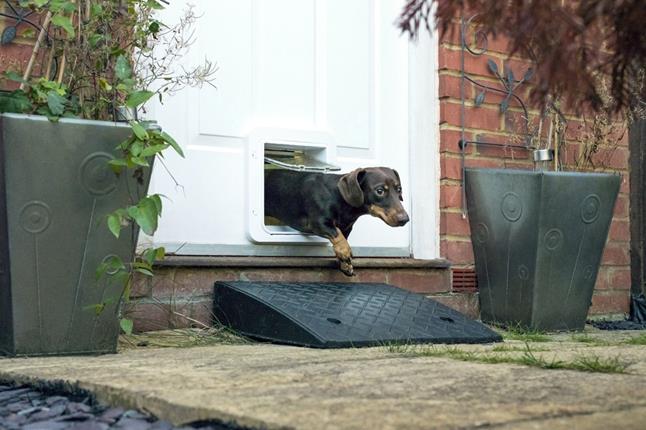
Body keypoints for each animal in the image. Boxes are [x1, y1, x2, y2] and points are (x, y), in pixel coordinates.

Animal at [264, 167, 410, 276]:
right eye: (380, 191)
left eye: (399, 189)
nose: (405, 219)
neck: (339, 197)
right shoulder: (318, 223)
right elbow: (337, 234)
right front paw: (345, 253)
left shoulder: (347, 227)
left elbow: (342, 237)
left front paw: (345, 265)